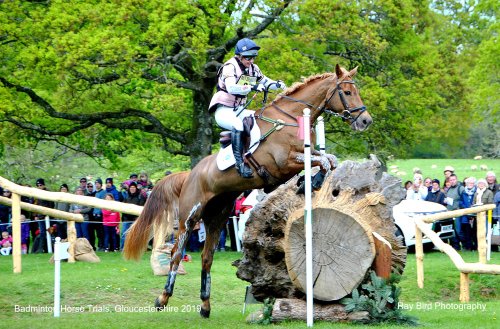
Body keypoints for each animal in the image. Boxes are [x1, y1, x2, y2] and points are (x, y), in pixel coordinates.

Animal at [122, 63, 372, 316]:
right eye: (348, 92)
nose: (365, 121)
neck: (289, 119)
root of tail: (189, 174)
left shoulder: (305, 156)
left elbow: (330, 161)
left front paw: (310, 183)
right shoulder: (284, 162)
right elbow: (323, 161)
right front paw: (309, 182)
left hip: (217, 218)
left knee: (206, 257)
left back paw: (205, 306)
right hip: (190, 216)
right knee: (176, 254)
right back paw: (162, 299)